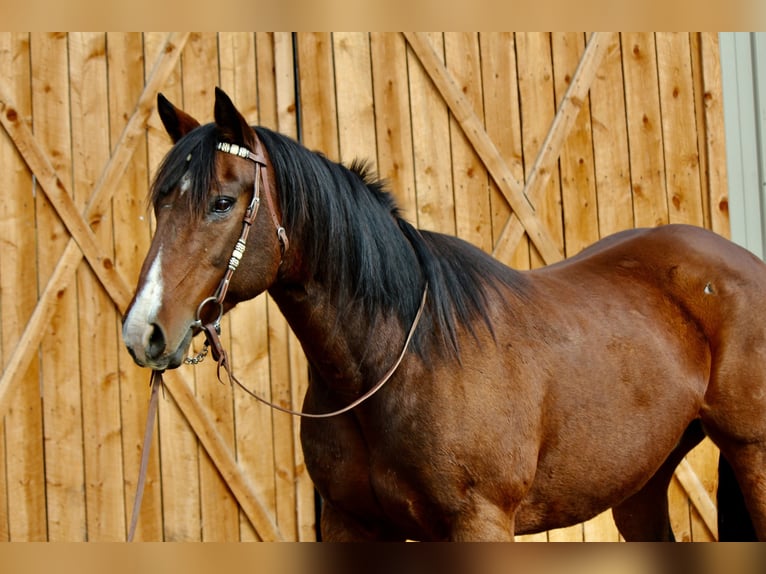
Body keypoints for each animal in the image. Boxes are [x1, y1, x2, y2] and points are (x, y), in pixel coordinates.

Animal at [122, 87, 765, 541]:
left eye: (222, 202)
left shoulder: (480, 522)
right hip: (642, 484)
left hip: (751, 454)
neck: (399, 359)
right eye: (159, 203)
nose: (142, 332)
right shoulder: (353, 526)